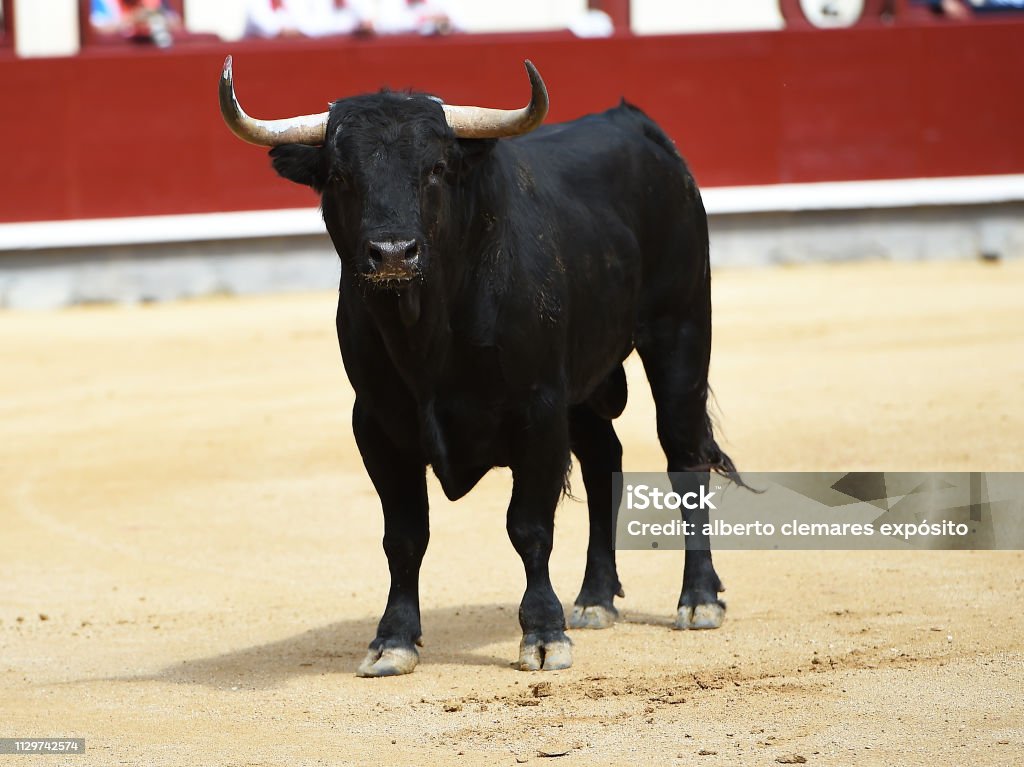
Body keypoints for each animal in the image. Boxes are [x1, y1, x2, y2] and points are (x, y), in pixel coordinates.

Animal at [222, 59, 737, 671]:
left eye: (437, 169)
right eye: (340, 176)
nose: (393, 253)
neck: (426, 334)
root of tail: (637, 127)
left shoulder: (538, 411)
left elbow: (529, 527)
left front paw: (543, 634)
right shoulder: (376, 426)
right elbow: (404, 535)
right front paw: (392, 639)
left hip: (680, 334)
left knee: (684, 458)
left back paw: (698, 599)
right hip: (584, 384)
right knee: (602, 461)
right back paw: (594, 599)